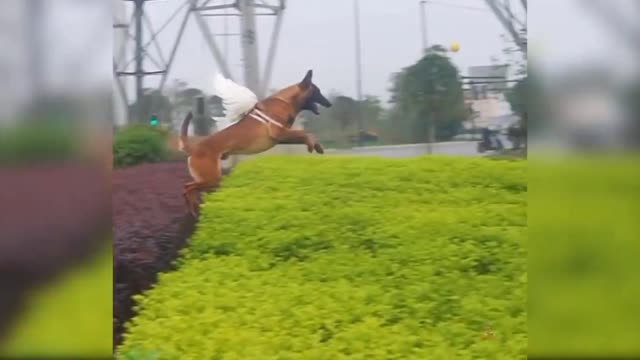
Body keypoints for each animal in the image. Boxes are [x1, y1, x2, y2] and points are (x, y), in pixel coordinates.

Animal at [179, 70, 332, 217]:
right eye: (317, 91)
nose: (329, 104)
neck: (286, 101)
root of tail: (193, 148)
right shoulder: (279, 132)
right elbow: (306, 133)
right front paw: (313, 145)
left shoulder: (282, 137)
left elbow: (304, 136)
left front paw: (316, 146)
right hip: (212, 178)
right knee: (188, 188)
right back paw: (193, 208)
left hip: (209, 179)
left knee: (189, 187)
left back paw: (194, 209)